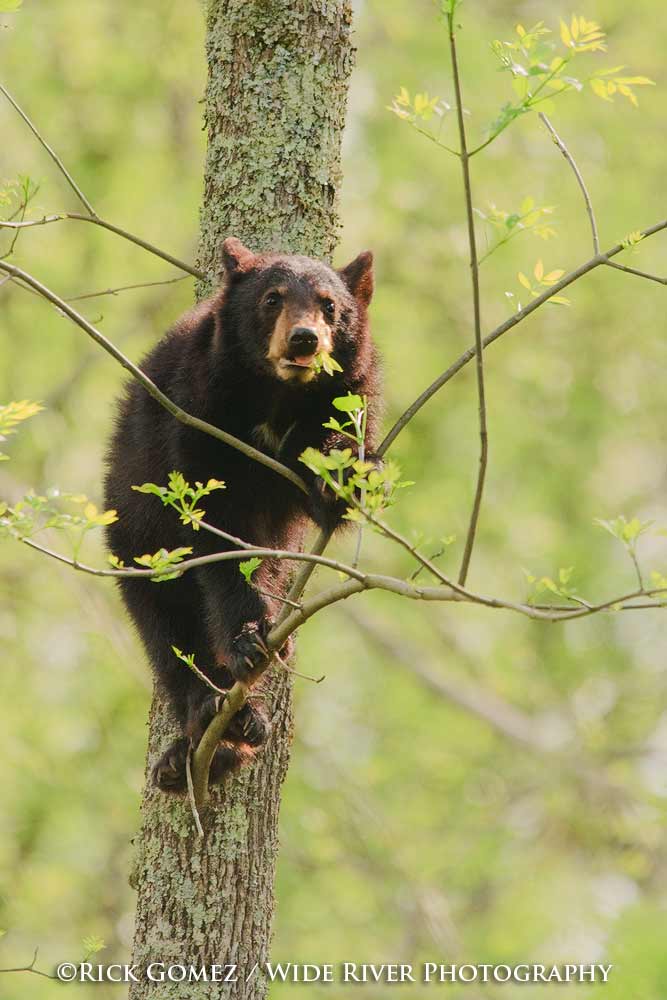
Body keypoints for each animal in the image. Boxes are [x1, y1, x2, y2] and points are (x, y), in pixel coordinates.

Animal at [103, 237, 380, 792]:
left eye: (329, 306)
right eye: (272, 299)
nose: (304, 340)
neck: (277, 395)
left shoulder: (347, 396)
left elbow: (332, 485)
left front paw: (343, 472)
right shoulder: (199, 411)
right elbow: (218, 531)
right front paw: (249, 639)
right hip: (137, 544)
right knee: (167, 630)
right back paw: (208, 720)